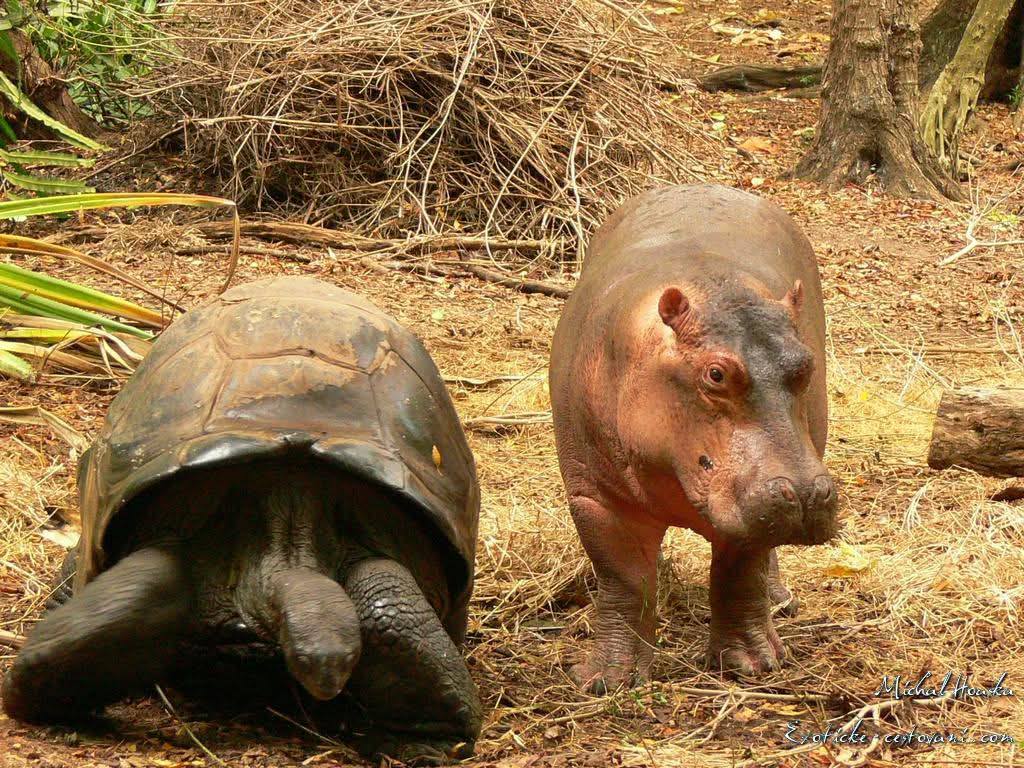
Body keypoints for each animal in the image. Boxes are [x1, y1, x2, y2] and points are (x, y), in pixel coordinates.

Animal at [552, 186, 839, 692]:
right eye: (716, 374)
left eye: (806, 364)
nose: (806, 495)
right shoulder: (595, 498)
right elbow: (624, 581)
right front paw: (605, 680)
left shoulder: (748, 507)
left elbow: (740, 571)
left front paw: (753, 665)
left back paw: (779, 600)